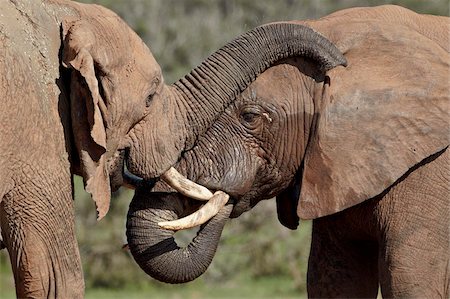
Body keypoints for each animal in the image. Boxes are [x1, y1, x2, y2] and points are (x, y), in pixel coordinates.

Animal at [0, 1, 446, 298]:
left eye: (250, 116)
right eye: (150, 99)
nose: (334, 59)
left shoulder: (422, 169)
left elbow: (407, 278)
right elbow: (334, 277)